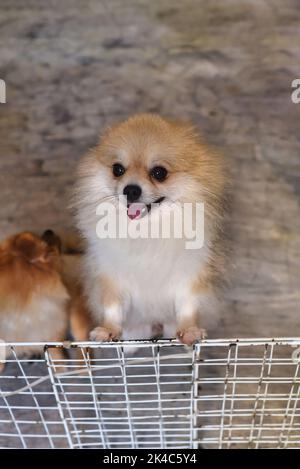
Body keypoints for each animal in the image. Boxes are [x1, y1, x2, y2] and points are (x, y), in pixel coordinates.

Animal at [74, 114, 229, 344]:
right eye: (117, 169)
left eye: (159, 173)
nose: (130, 190)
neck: (146, 232)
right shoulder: (111, 277)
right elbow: (112, 307)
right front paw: (108, 329)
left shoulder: (189, 276)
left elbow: (188, 306)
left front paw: (190, 330)